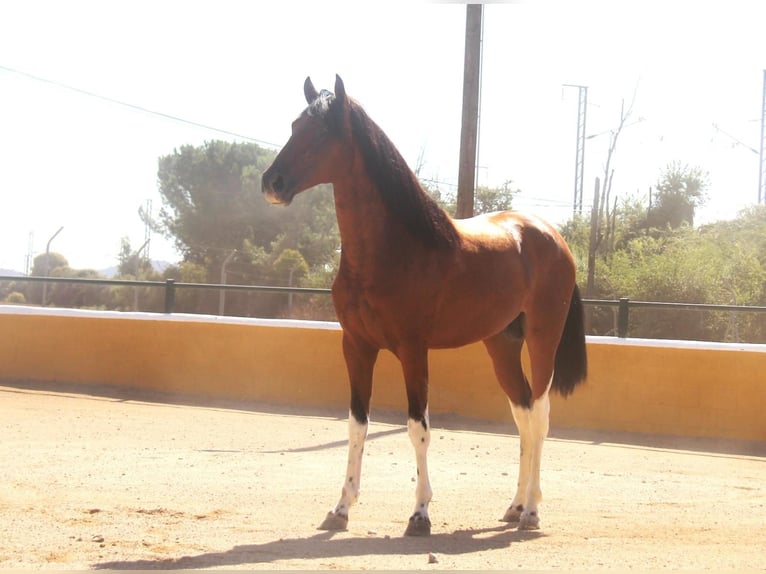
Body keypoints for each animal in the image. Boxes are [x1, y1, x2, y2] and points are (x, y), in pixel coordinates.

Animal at [264, 74, 588, 536]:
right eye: (295, 125)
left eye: (322, 131)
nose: (272, 182)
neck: (392, 249)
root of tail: (550, 235)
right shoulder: (357, 346)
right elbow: (357, 425)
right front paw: (341, 508)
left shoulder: (413, 350)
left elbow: (418, 428)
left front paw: (420, 514)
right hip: (502, 345)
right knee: (523, 415)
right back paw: (513, 506)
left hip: (544, 337)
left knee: (540, 415)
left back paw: (531, 511)